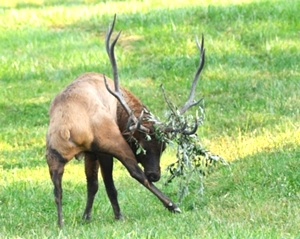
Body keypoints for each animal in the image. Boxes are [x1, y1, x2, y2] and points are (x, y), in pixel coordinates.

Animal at [45, 14, 205, 227]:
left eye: (163, 147)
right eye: (141, 146)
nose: (155, 174)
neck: (121, 110)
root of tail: (67, 129)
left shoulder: (89, 153)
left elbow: (92, 184)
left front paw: (86, 216)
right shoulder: (101, 149)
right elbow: (108, 182)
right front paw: (112, 215)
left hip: (53, 154)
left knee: (57, 189)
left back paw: (61, 223)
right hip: (110, 141)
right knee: (135, 174)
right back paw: (170, 205)